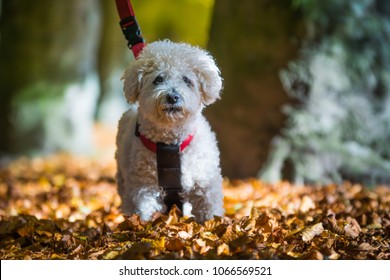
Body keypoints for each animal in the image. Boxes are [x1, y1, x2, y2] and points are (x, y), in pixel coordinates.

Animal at [115, 40, 222, 223]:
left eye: (186, 80)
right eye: (158, 79)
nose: (172, 97)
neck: (170, 143)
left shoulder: (205, 182)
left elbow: (209, 211)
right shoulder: (143, 187)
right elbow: (143, 210)